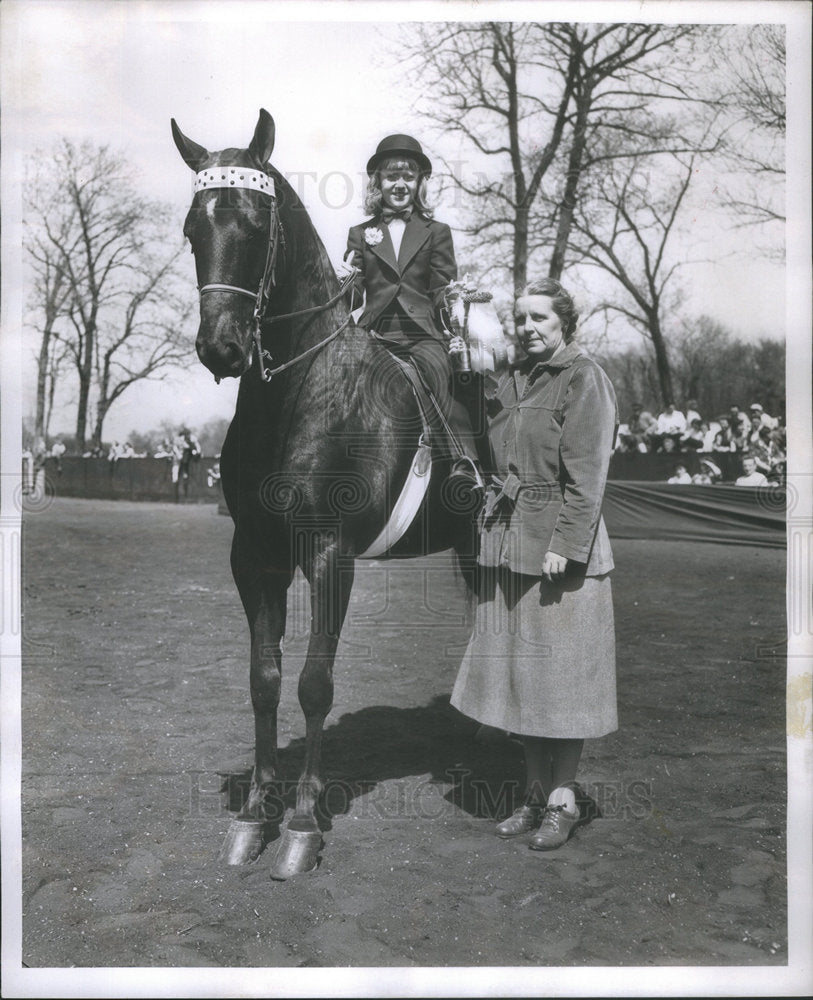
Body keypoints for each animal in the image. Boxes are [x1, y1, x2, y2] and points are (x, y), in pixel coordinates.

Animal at [171, 107, 476, 876]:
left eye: (256, 224)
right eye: (193, 229)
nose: (220, 348)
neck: (300, 392)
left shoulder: (329, 554)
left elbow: (314, 684)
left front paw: (304, 825)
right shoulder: (254, 558)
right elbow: (264, 680)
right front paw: (255, 814)